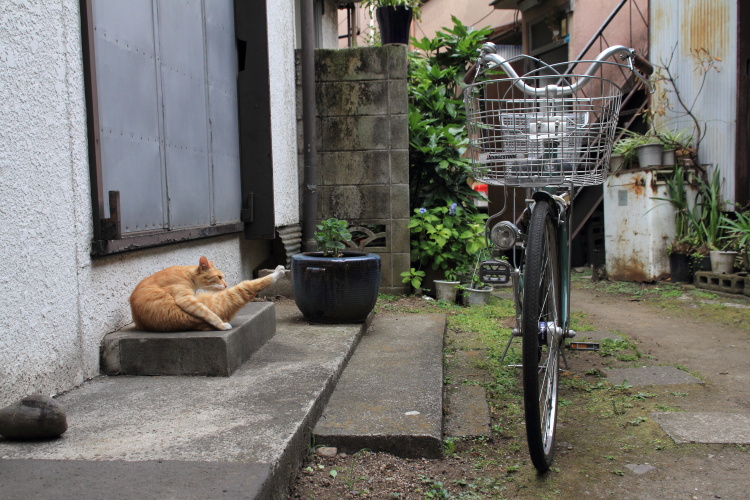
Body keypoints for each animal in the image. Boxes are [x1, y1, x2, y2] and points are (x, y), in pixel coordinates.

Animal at [129, 258, 284, 332]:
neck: (187, 274)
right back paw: (278, 271)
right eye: (219, 277)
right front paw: (221, 325)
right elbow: (208, 314)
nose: (226, 285)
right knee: (255, 284)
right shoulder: (186, 299)